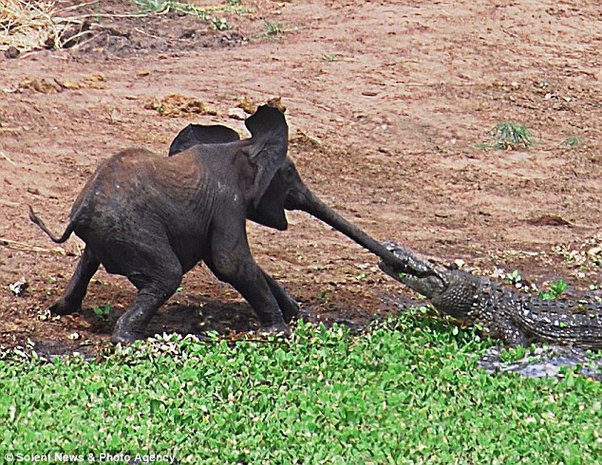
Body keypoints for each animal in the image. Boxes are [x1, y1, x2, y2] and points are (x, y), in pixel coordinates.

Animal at [29, 106, 412, 344]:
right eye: (289, 173)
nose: (399, 260)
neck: (240, 147)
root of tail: (80, 211)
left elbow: (231, 263)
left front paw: (299, 316)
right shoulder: (228, 201)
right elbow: (231, 262)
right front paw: (279, 331)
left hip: (111, 232)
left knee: (88, 262)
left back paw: (61, 310)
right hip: (131, 229)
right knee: (167, 275)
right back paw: (131, 339)